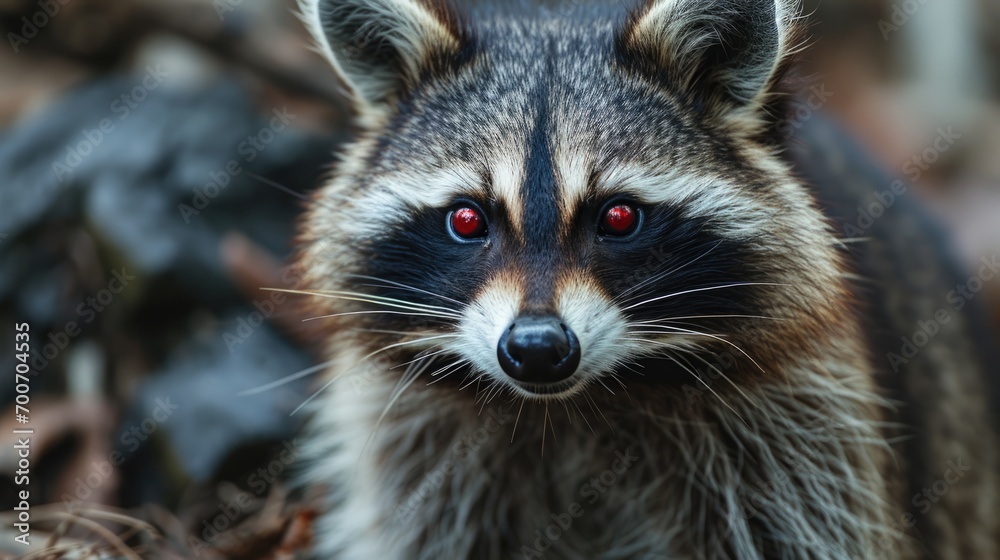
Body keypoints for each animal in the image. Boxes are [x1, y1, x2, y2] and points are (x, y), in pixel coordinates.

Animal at [292, 0, 1000, 556]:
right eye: (467, 219)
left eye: (620, 216)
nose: (537, 349)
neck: (575, 406)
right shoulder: (421, 444)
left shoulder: (798, 432)